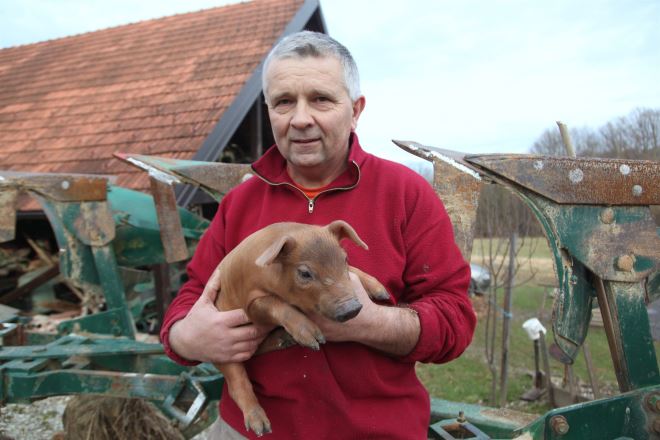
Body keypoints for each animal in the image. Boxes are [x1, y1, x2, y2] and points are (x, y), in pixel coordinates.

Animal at [212, 220, 389, 436]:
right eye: (305, 273)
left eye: (345, 259)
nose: (352, 308)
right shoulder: (250, 304)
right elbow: (273, 303)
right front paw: (315, 342)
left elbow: (354, 270)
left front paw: (382, 292)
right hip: (222, 354)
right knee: (237, 384)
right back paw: (261, 427)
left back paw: (285, 340)